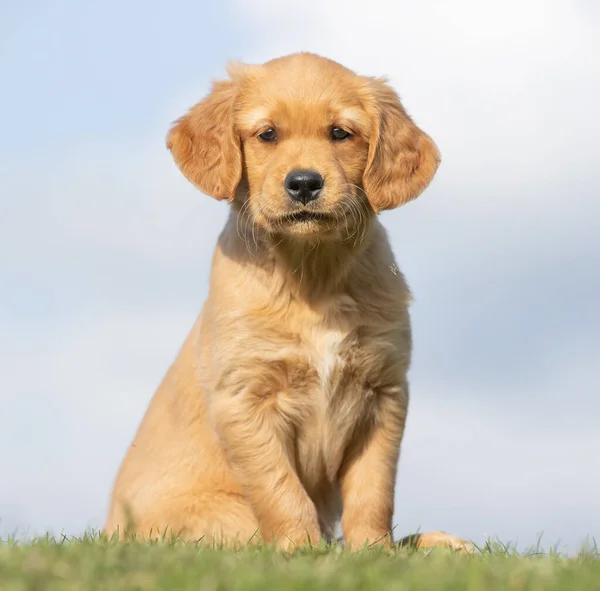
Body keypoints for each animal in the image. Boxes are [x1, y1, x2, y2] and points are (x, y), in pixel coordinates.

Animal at [106, 52, 474, 556]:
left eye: (340, 132)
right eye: (267, 134)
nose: (303, 184)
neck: (311, 275)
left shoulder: (385, 393)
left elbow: (373, 491)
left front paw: (375, 552)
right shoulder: (244, 399)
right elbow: (281, 490)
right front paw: (300, 550)